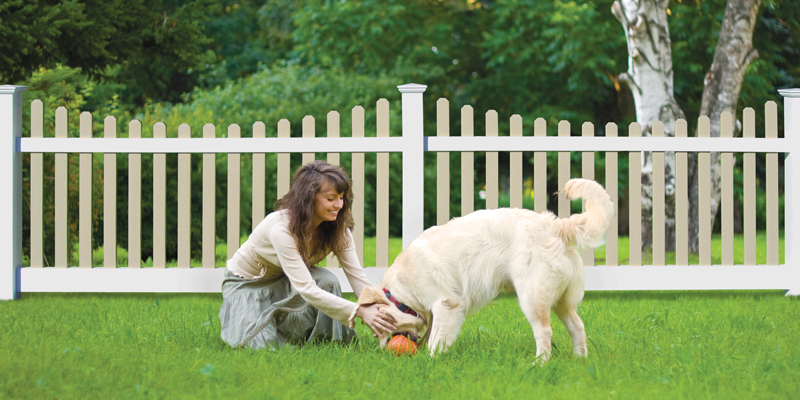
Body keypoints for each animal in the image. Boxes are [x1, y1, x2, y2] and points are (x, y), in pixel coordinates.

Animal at [360, 177, 616, 360]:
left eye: (378, 330)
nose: (384, 349)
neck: (403, 290)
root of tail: (555, 225)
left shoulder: (447, 304)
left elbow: (436, 339)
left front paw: (430, 360)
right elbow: (432, 333)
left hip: (531, 298)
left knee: (545, 331)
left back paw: (539, 364)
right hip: (561, 301)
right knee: (577, 326)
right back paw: (579, 359)